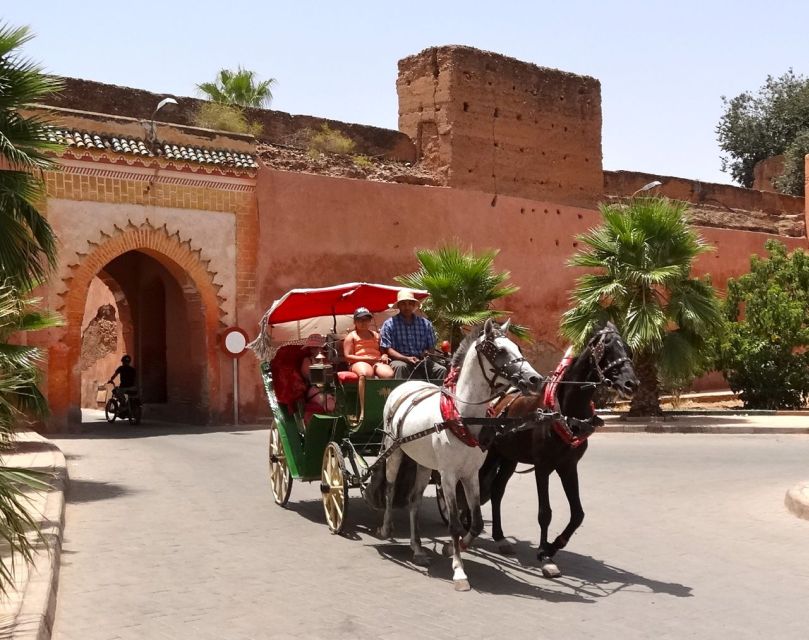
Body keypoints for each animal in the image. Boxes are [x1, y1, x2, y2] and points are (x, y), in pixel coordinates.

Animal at [380, 318, 544, 592]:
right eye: (500, 351)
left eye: (519, 348)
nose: (535, 379)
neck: (462, 416)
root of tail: (406, 385)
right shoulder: (448, 475)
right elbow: (455, 523)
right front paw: (459, 570)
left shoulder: (470, 474)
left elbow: (475, 522)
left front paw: (452, 548)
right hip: (394, 452)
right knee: (391, 490)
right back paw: (385, 527)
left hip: (423, 463)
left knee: (414, 500)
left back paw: (417, 549)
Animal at [476, 322, 636, 576]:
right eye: (607, 349)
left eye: (629, 349)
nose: (632, 384)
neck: (565, 412)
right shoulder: (543, 467)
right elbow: (545, 513)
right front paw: (544, 554)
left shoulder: (568, 466)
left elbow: (578, 514)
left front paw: (553, 546)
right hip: (492, 452)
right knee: (479, 482)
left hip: (510, 457)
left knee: (497, 491)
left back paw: (500, 537)